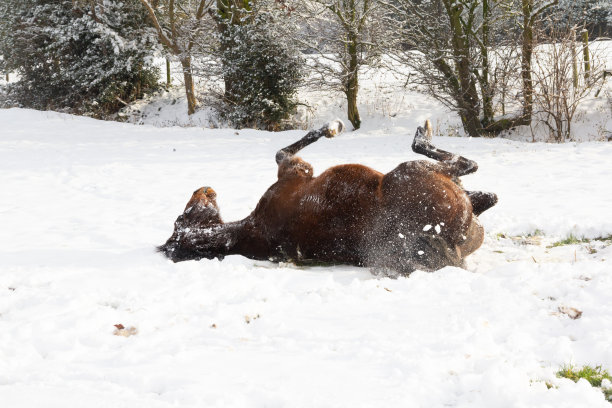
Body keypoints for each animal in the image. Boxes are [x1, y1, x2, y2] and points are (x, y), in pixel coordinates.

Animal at [159, 119, 498, 276]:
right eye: (181, 218)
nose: (202, 188)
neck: (246, 231)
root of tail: (447, 241)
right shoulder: (296, 169)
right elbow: (284, 150)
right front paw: (333, 126)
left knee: (485, 192)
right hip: (409, 171)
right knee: (461, 164)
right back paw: (423, 131)